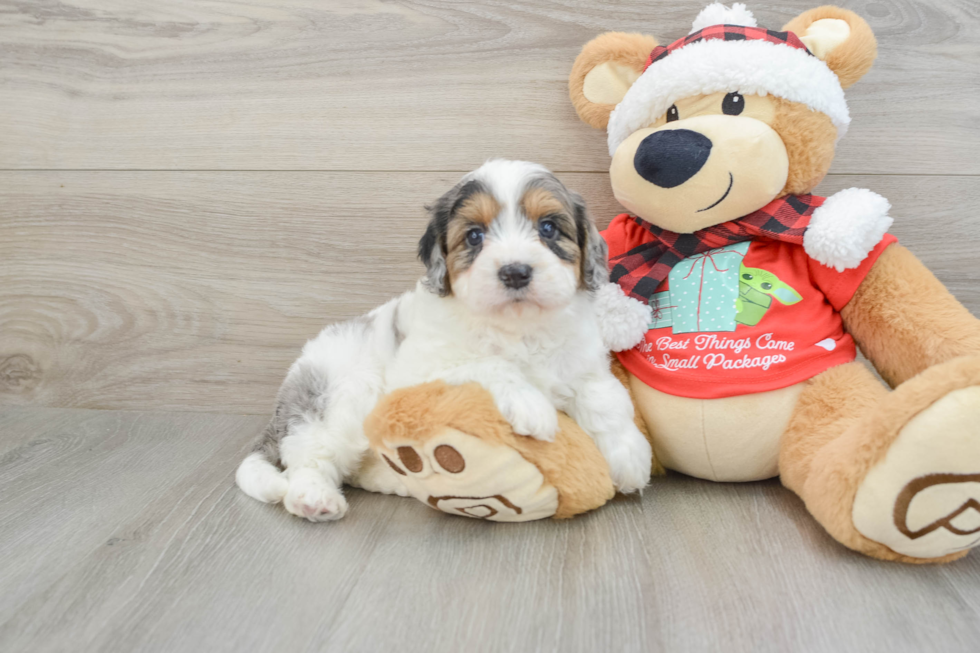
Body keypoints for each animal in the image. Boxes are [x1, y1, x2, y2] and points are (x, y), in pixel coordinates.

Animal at [235, 160, 652, 524]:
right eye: (475, 236)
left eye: (548, 228)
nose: (515, 272)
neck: (518, 328)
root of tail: (288, 395)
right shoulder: (420, 367)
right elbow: (487, 362)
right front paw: (531, 405)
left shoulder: (584, 363)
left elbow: (607, 400)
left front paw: (630, 458)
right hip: (339, 397)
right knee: (310, 456)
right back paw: (314, 498)